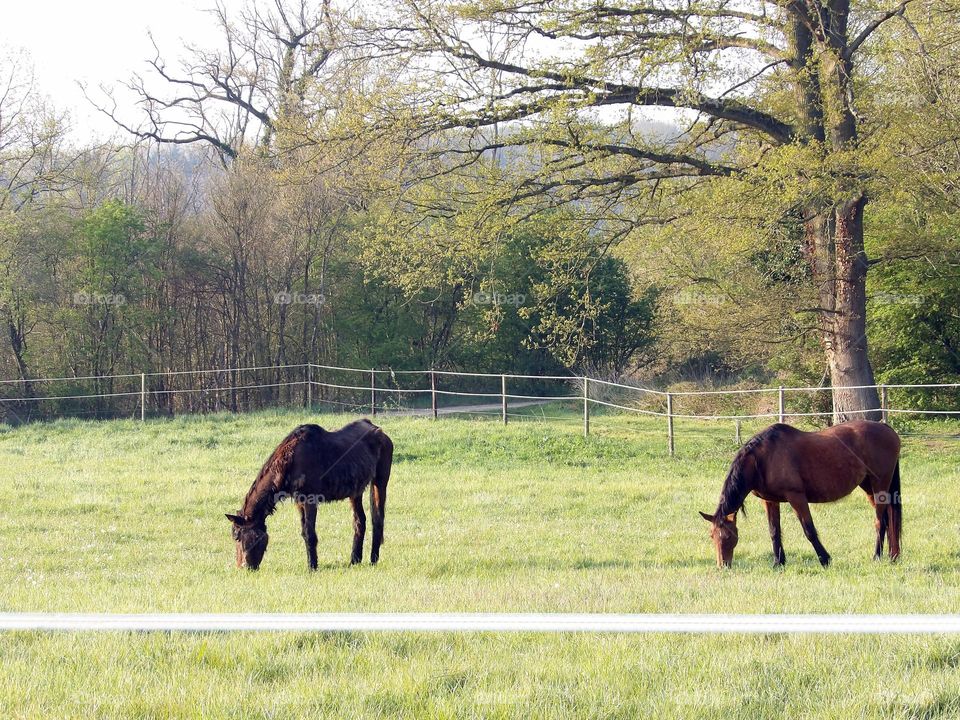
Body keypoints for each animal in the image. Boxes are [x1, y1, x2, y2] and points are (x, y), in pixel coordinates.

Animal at [225, 419, 393, 570]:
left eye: (237, 536)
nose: (243, 567)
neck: (290, 460)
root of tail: (380, 431)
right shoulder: (299, 502)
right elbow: (304, 532)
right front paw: (312, 563)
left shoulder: (310, 500)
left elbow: (310, 533)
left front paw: (312, 566)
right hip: (355, 492)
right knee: (360, 521)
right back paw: (354, 560)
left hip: (380, 482)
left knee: (377, 519)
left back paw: (373, 560)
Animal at [699, 420, 902, 568]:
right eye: (711, 536)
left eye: (728, 536)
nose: (722, 566)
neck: (762, 459)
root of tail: (886, 427)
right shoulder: (770, 501)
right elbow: (774, 531)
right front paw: (778, 563)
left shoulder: (796, 497)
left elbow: (809, 530)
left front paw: (825, 559)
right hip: (869, 487)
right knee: (886, 520)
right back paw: (892, 556)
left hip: (879, 485)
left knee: (879, 522)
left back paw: (876, 556)